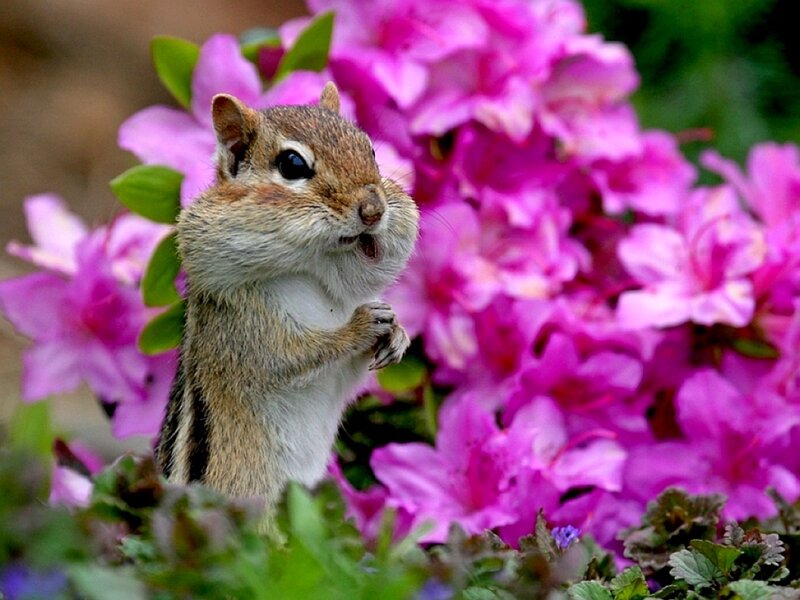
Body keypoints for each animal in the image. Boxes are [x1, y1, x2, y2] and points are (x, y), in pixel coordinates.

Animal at [154, 83, 419, 510]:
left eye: (371, 151)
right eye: (292, 165)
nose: (374, 209)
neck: (313, 273)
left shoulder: (339, 372)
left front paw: (397, 334)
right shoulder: (245, 327)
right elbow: (294, 354)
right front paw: (360, 325)